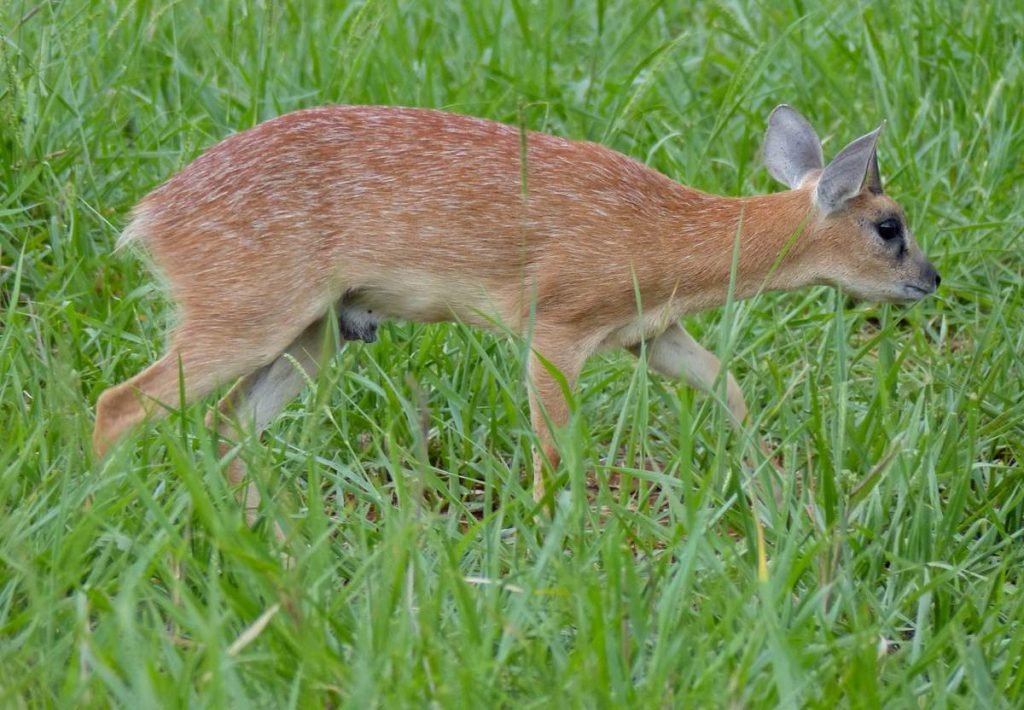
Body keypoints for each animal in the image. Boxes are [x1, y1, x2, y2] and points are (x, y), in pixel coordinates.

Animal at [92, 102, 937, 518]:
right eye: (888, 226)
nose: (929, 279)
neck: (669, 238)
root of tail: (148, 217)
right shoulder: (555, 323)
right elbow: (556, 447)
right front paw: (543, 530)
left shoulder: (649, 333)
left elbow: (726, 383)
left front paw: (773, 493)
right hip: (245, 312)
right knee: (120, 403)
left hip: (316, 331)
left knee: (223, 425)